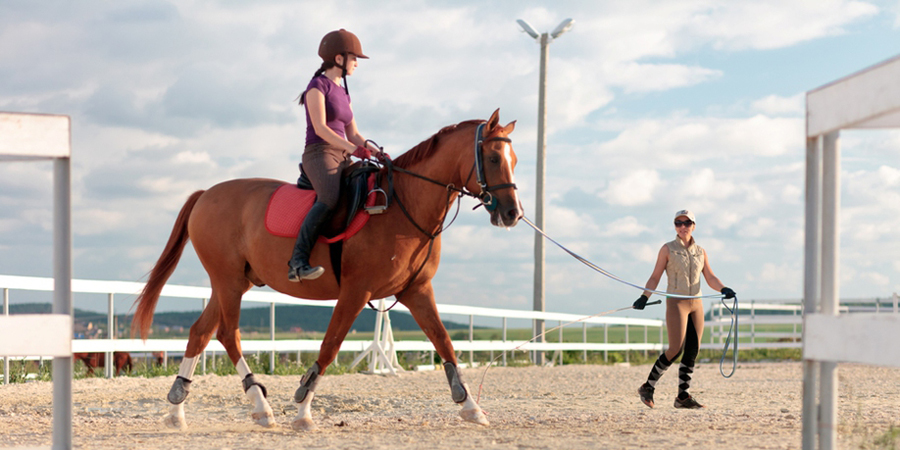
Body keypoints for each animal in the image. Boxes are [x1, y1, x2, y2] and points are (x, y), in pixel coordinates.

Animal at [128, 107, 520, 430]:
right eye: (492, 157)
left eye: (514, 158)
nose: (512, 213)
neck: (403, 205)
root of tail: (205, 194)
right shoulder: (356, 291)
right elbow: (330, 346)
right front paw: (302, 411)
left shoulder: (416, 290)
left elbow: (444, 343)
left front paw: (471, 407)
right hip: (227, 280)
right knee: (228, 333)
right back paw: (260, 406)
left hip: (234, 282)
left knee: (200, 332)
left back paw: (177, 411)